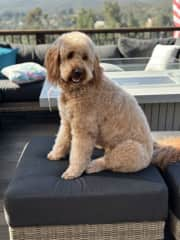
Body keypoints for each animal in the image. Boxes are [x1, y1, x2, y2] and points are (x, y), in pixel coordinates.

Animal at [45, 31, 180, 180]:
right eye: (69, 55)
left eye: (85, 58)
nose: (78, 72)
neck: (79, 89)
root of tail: (152, 153)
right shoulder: (66, 122)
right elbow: (61, 140)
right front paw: (56, 154)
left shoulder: (84, 129)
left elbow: (78, 154)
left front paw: (73, 171)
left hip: (130, 150)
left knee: (109, 161)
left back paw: (93, 165)